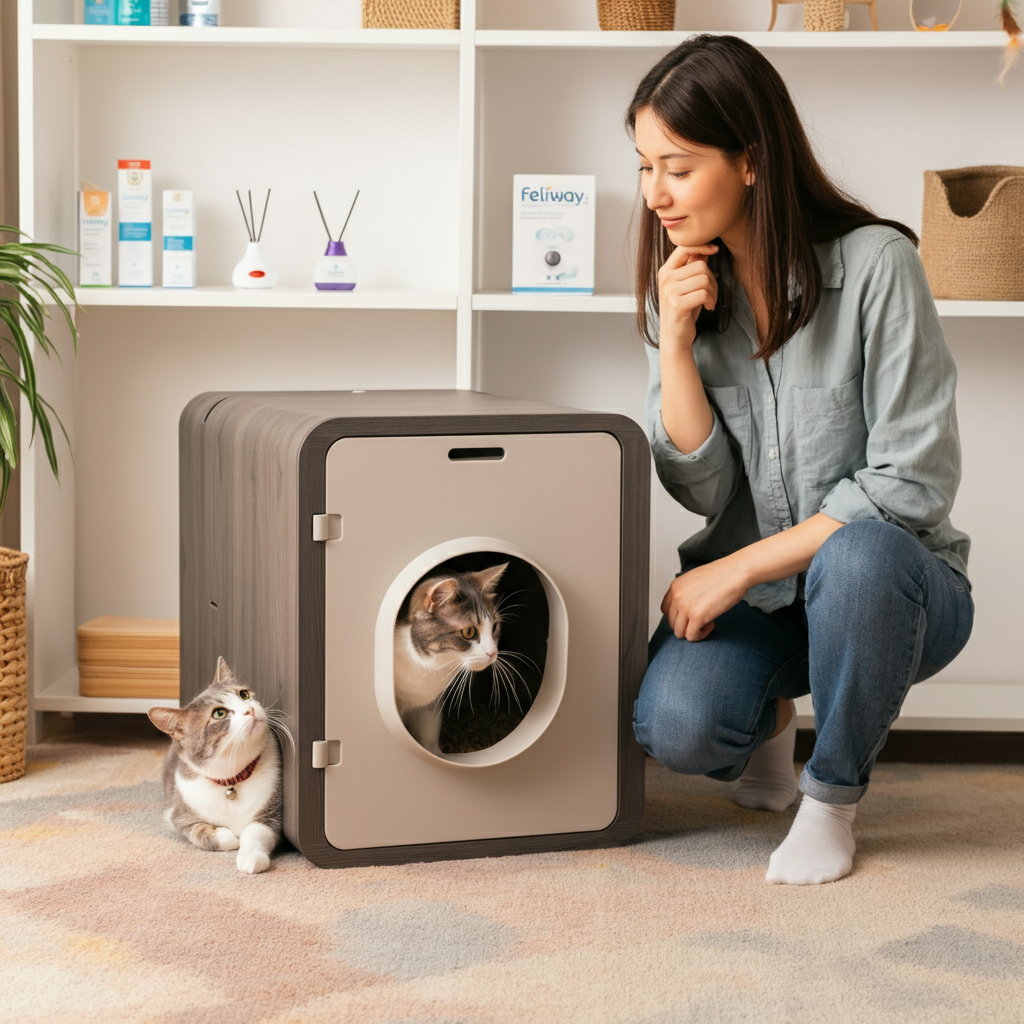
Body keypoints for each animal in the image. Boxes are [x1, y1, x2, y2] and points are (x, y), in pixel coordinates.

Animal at [391, 561, 507, 753]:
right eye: (469, 632)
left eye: (495, 627)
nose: (493, 653)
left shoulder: (428, 706)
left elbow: (428, 733)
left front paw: (435, 754)